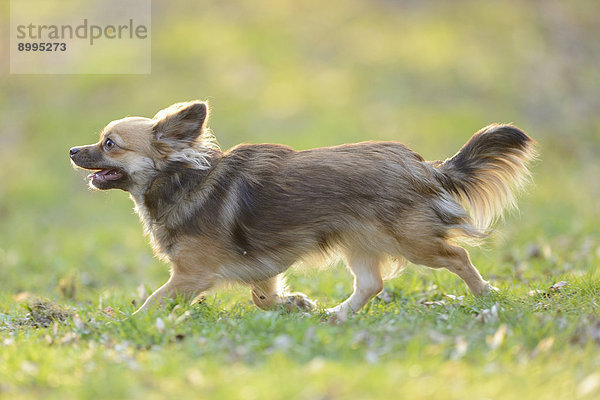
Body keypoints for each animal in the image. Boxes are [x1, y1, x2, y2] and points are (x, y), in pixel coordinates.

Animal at [69, 101, 536, 322]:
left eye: (110, 143)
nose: (73, 150)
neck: (181, 178)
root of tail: (421, 165)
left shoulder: (190, 275)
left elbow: (154, 301)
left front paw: (127, 324)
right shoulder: (261, 265)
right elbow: (261, 297)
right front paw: (296, 304)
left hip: (414, 241)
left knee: (458, 256)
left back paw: (485, 296)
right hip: (358, 241)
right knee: (372, 284)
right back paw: (336, 315)